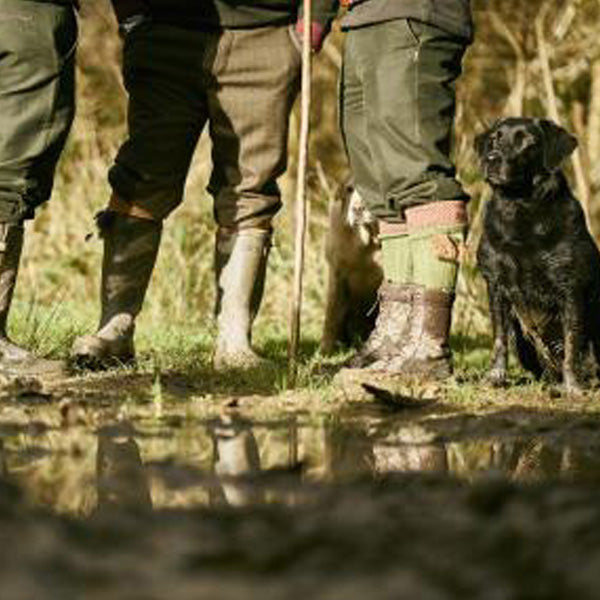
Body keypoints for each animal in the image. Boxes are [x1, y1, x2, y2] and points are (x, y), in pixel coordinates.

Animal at [474, 118, 600, 394]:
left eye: (527, 142)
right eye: (494, 138)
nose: (491, 158)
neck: (519, 208)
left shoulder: (571, 288)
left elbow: (572, 344)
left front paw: (573, 387)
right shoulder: (495, 284)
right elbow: (499, 338)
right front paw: (495, 377)